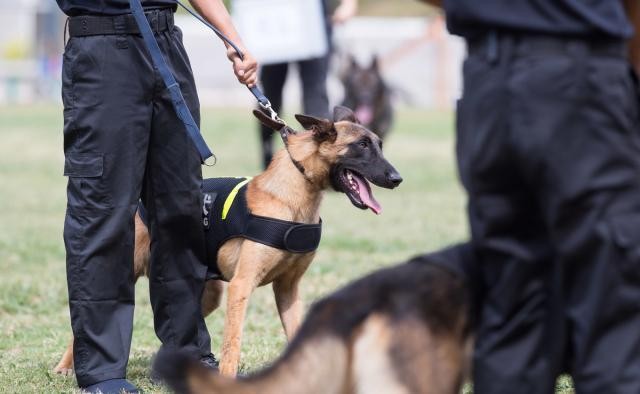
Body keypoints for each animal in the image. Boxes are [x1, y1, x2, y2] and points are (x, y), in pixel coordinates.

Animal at [56, 106, 404, 378]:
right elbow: (232, 344)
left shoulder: (288, 290)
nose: (397, 179)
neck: (292, 198)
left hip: (206, 295)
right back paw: (68, 365)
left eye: (380, 144)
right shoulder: (241, 286)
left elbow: (297, 334)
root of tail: (145, 205)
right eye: (361, 145)